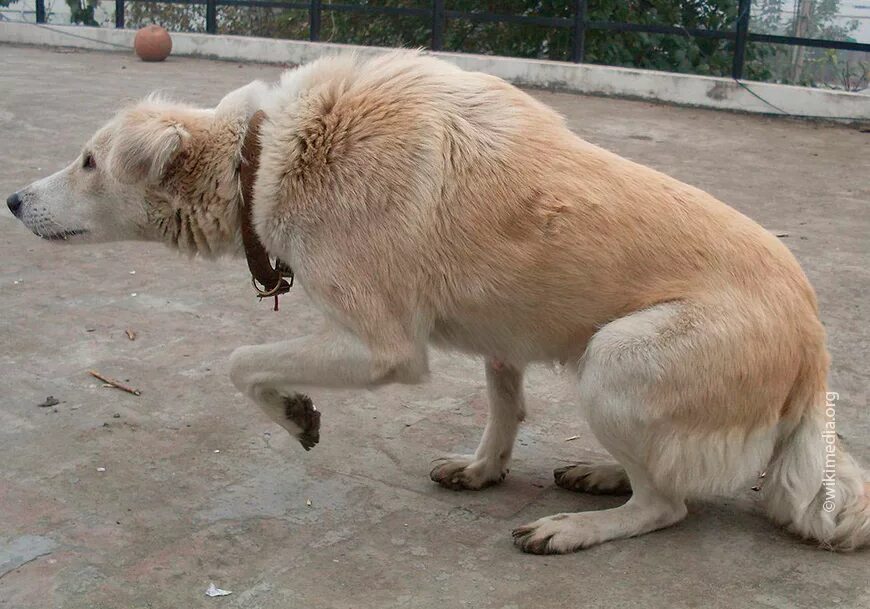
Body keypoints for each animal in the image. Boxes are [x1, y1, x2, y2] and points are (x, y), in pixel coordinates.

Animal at [8, 51, 870, 552]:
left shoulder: (382, 346)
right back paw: (600, 474)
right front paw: (485, 467)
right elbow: (505, 406)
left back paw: (579, 525)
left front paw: (295, 413)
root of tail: (816, 348)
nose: (13, 200)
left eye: (88, 161)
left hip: (615, 359)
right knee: (665, 477)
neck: (266, 158)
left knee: (669, 505)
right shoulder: (500, 330)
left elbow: (241, 361)